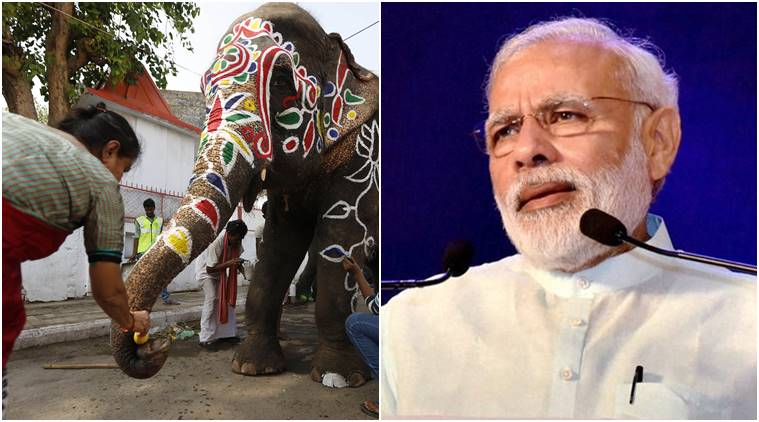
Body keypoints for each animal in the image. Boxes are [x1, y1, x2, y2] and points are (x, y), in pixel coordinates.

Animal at [109, 2, 378, 386]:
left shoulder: (363, 161)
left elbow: (340, 241)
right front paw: (253, 368)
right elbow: (279, 247)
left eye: (281, 81)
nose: (153, 343)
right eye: (204, 88)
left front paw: (339, 377)